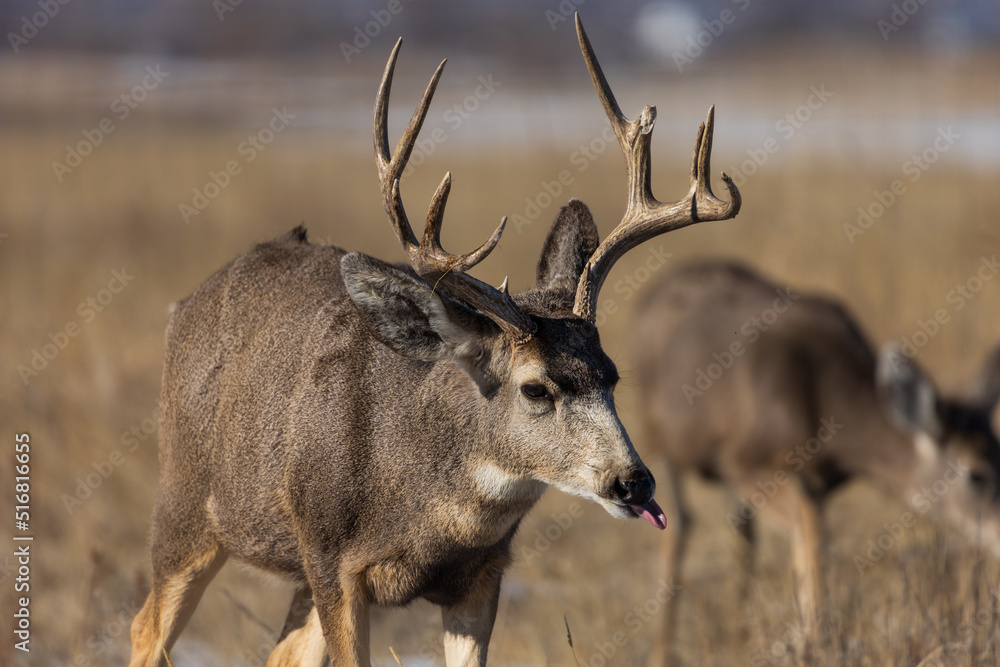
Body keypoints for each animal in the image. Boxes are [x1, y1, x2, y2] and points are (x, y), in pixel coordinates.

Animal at [128, 15, 741, 667]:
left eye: (612, 375)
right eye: (535, 389)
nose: (633, 481)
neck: (425, 505)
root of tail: (183, 306)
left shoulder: (483, 576)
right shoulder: (333, 564)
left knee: (280, 653)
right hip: (184, 509)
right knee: (145, 628)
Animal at [631, 260, 1000, 665]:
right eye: (977, 475)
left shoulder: (816, 482)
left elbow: (808, 536)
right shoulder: (744, 460)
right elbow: (813, 533)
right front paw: (816, 642)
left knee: (741, 528)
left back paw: (741, 619)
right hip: (658, 438)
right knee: (679, 524)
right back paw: (661, 651)